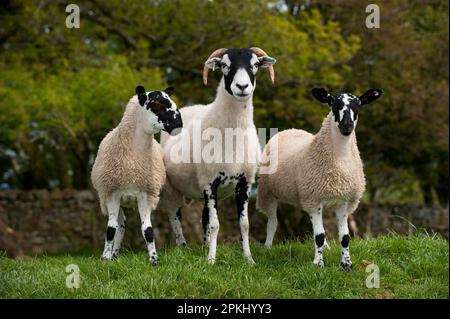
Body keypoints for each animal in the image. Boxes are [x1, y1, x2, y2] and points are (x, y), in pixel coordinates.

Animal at [90, 84, 182, 264]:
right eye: (157, 104)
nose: (179, 123)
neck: (133, 160)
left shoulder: (145, 195)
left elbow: (148, 230)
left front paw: (154, 260)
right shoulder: (112, 194)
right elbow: (110, 229)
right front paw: (105, 258)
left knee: (173, 217)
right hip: (109, 199)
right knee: (120, 225)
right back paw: (112, 255)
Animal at [158, 45, 278, 264]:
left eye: (255, 64)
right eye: (224, 65)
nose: (242, 86)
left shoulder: (245, 182)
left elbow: (244, 224)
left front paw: (249, 260)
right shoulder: (209, 182)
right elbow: (215, 225)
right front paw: (211, 261)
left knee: (203, 217)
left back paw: (204, 247)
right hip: (172, 187)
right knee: (174, 216)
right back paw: (183, 248)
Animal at [256, 87, 384, 270]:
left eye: (358, 105)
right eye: (333, 103)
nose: (347, 126)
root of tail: (290, 130)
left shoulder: (343, 202)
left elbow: (344, 237)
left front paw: (347, 264)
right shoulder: (314, 199)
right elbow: (319, 235)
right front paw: (318, 264)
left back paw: (326, 248)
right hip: (268, 192)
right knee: (272, 222)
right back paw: (267, 247)